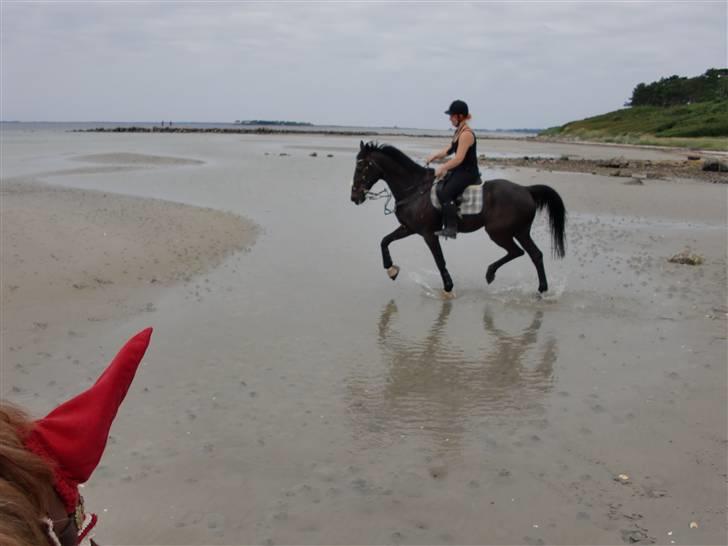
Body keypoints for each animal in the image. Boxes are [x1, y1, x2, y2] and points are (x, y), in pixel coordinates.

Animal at [350, 140, 564, 294]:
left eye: (360, 168)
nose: (354, 197)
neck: (415, 189)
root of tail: (526, 190)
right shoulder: (408, 228)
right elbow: (384, 241)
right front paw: (391, 270)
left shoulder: (429, 234)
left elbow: (439, 260)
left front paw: (448, 287)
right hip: (520, 231)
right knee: (534, 254)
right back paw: (541, 289)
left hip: (498, 232)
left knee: (518, 252)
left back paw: (491, 273)